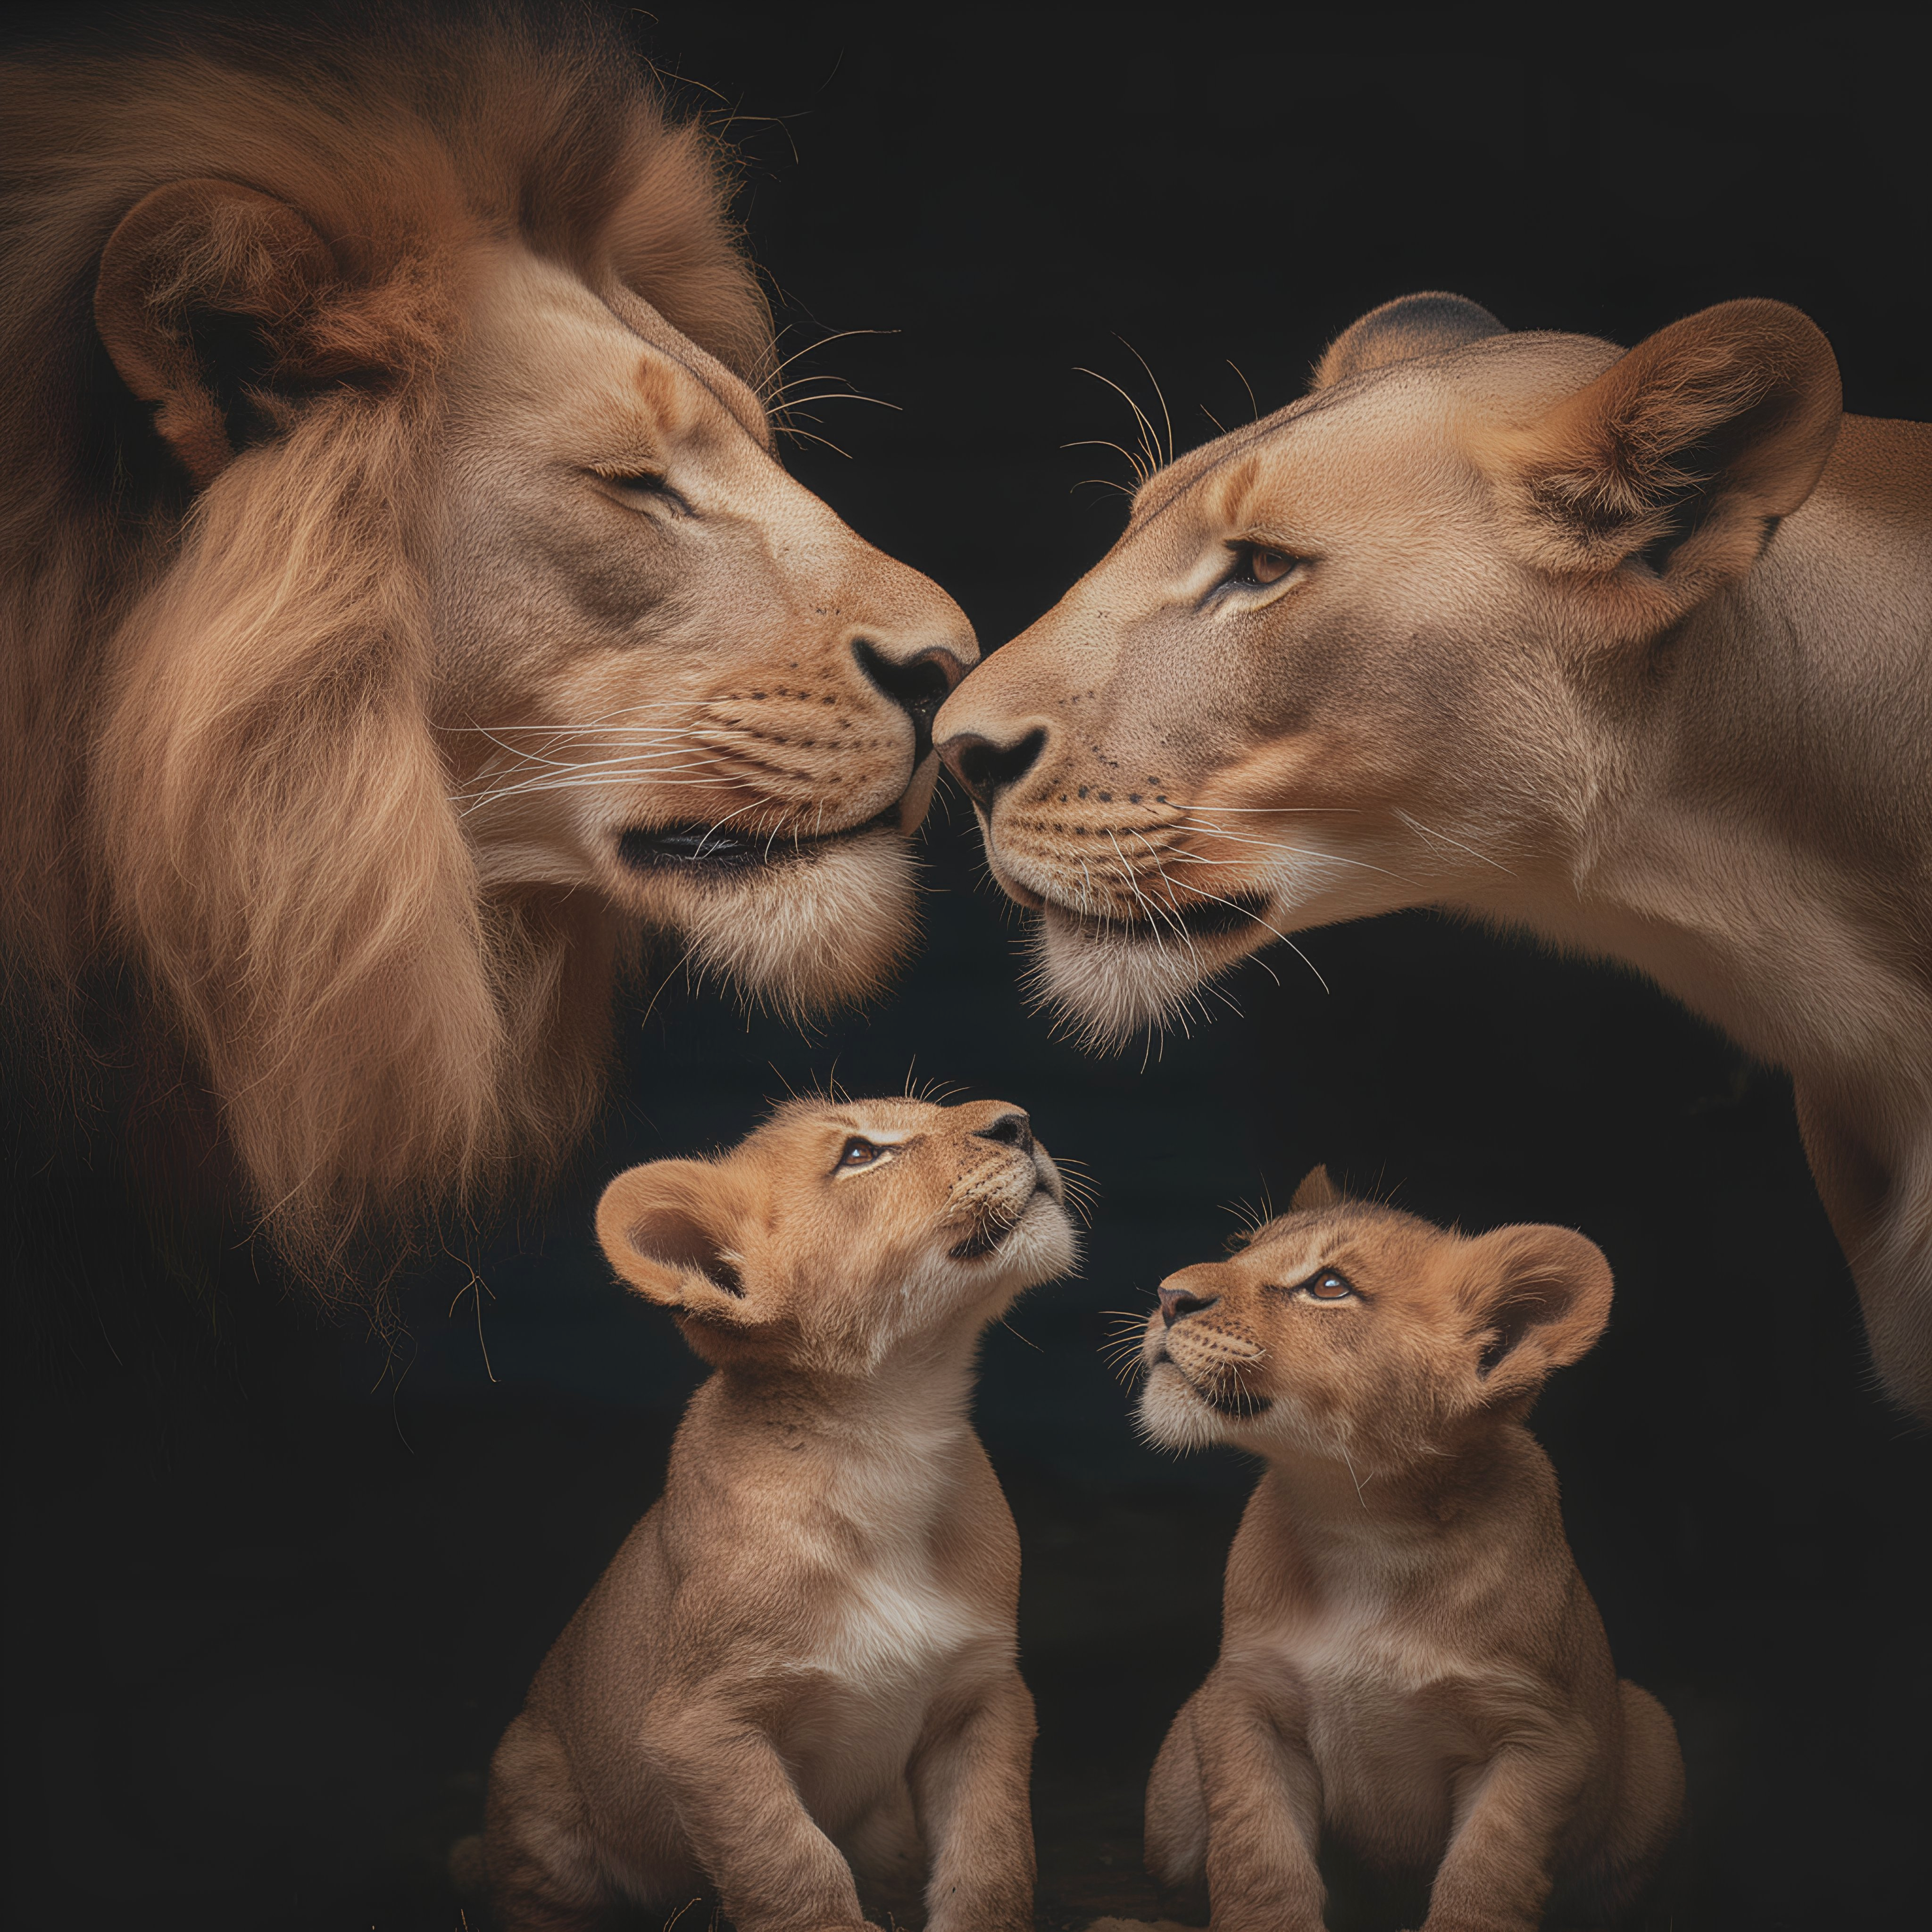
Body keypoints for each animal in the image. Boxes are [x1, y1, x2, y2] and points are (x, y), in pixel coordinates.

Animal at [479, 1094, 1075, 1932]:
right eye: (859, 1155)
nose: (1018, 1122)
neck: (891, 1430)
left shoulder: (983, 1697)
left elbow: (991, 1855)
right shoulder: (702, 1726)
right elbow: (790, 1863)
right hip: (532, 1773)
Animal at [1137, 1165, 1683, 1931]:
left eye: (1329, 1286)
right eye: (1242, 1248)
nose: (1166, 1296)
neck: (1365, 1521)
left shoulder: (1539, 1738)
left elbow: (1485, 1879)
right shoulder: (1245, 1702)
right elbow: (1258, 1861)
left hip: (1653, 1730)